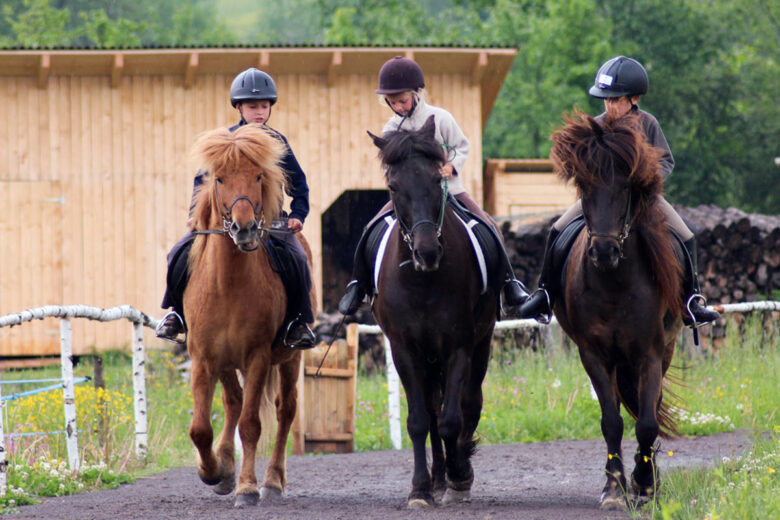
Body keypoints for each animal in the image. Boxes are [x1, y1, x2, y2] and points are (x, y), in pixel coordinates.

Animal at [184, 124, 316, 506]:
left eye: (258, 176)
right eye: (219, 178)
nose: (243, 229)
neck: (228, 283)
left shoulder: (257, 357)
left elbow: (251, 424)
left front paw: (246, 487)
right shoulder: (203, 357)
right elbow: (201, 428)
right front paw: (214, 472)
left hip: (289, 359)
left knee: (285, 410)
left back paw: (272, 481)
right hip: (227, 362)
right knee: (233, 401)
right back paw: (226, 466)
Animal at [368, 117, 500, 508]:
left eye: (435, 179)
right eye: (393, 186)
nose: (427, 252)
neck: (422, 281)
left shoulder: (458, 346)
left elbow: (452, 419)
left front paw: (460, 476)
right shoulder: (405, 350)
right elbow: (419, 421)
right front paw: (421, 489)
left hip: (479, 344)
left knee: (467, 404)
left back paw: (454, 473)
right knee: (432, 410)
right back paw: (439, 478)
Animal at [548, 112, 684, 508]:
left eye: (626, 189)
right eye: (585, 189)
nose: (604, 252)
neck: (614, 283)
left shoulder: (650, 353)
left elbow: (647, 422)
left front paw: (646, 485)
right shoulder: (594, 354)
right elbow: (612, 421)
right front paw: (614, 489)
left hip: (666, 350)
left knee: (647, 409)